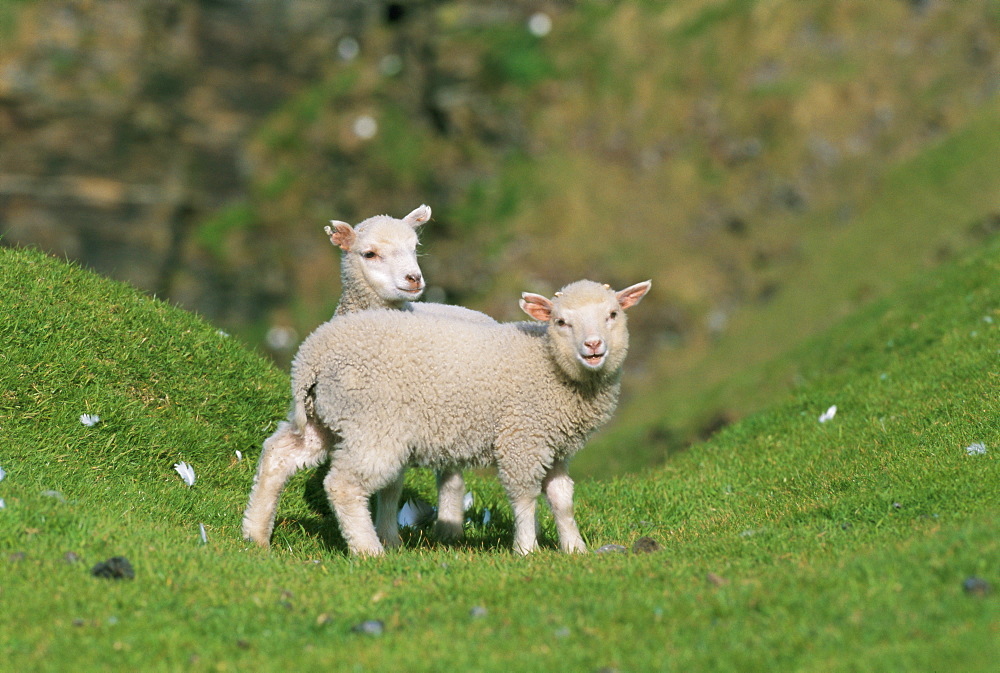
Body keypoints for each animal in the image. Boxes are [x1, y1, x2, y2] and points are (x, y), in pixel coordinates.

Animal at [241, 278, 648, 556]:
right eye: (562, 322)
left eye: (613, 315)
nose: (593, 346)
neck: (550, 365)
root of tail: (311, 355)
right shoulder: (522, 438)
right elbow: (524, 495)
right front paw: (526, 549)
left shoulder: (555, 443)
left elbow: (562, 498)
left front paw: (574, 548)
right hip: (373, 423)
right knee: (343, 484)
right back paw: (369, 550)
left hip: (324, 416)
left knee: (279, 455)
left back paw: (256, 534)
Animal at [243, 205, 492, 544]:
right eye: (369, 253)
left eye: (415, 248)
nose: (414, 278)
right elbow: (390, 484)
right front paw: (387, 537)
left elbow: (392, 487)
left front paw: (389, 535)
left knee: (450, 475)